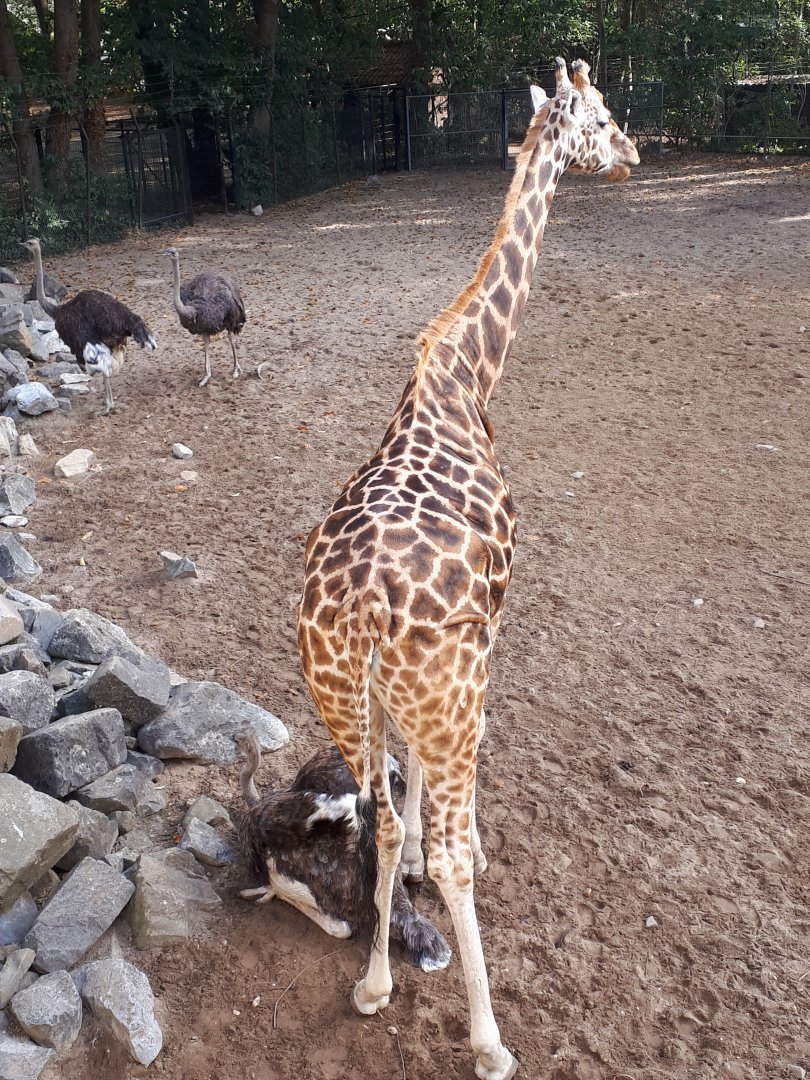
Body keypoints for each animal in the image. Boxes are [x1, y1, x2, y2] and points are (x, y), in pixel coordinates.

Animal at [297, 58, 639, 1080]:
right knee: (442, 847)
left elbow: (398, 807)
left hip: (342, 694)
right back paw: (491, 1042)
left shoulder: (401, 695)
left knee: (376, 817)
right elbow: (453, 835)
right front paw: (474, 851)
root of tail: (363, 610)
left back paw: (373, 983)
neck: (469, 373)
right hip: (448, 690)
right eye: (601, 115)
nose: (634, 152)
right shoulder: (490, 635)